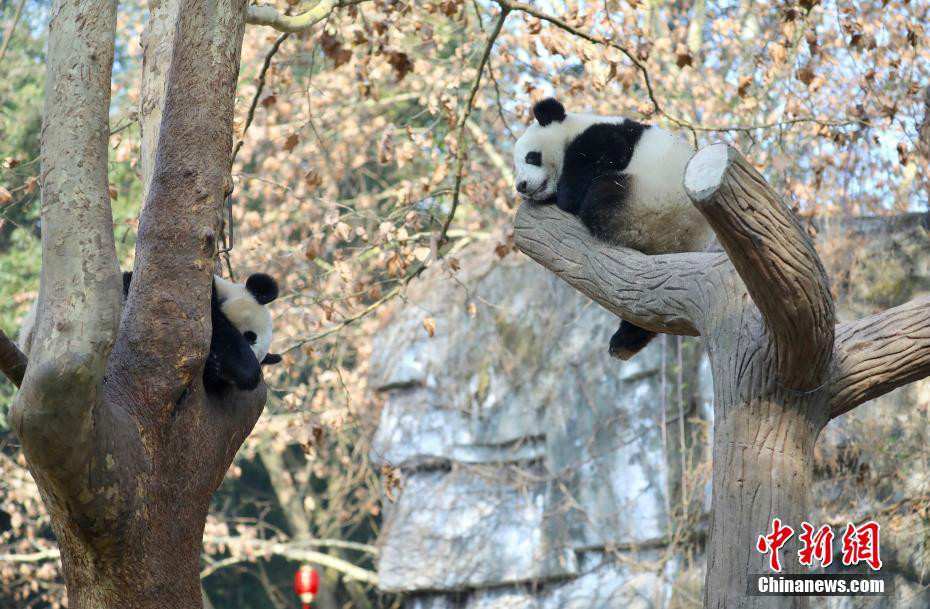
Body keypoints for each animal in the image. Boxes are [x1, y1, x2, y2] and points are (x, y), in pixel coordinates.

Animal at [512, 97, 716, 358]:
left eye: (531, 157)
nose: (521, 186)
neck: (573, 129)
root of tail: (672, 237)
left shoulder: (600, 138)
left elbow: (595, 163)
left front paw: (563, 195)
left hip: (644, 197)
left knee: (599, 197)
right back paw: (624, 341)